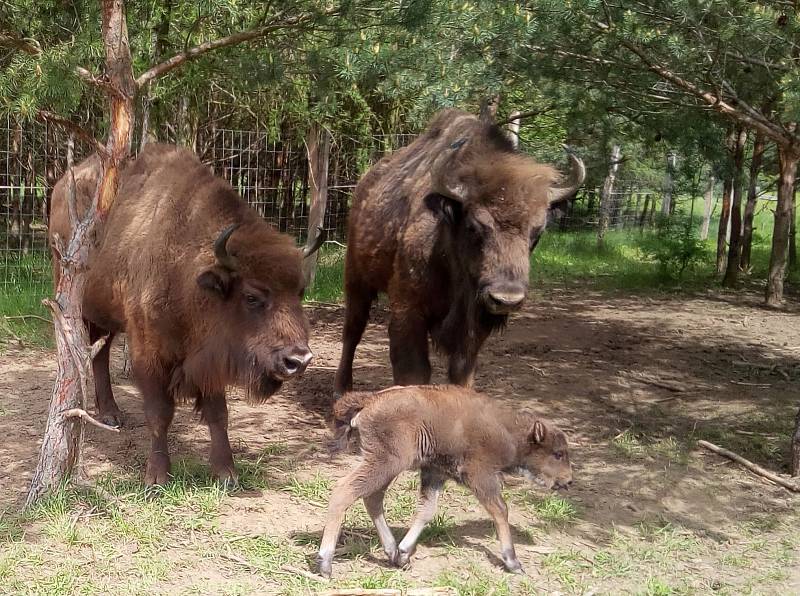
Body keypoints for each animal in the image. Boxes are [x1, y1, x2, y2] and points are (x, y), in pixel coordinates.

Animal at [47, 144, 320, 484]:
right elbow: (160, 413)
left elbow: (218, 414)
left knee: (101, 352)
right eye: (252, 296)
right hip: (77, 302)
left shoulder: (210, 356)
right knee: (84, 351)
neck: (189, 273)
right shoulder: (149, 353)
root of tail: (60, 187)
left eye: (301, 291)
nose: (298, 360)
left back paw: (111, 413)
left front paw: (226, 473)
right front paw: (157, 477)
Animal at [316, 384, 572, 580]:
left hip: (385, 467)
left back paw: (393, 553)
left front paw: (404, 553)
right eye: (558, 453)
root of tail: (371, 400)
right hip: (385, 463)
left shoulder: (435, 474)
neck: (509, 432)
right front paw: (513, 563)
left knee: (372, 498)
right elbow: (500, 510)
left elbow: (427, 510)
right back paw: (325, 564)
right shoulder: (481, 476)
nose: (568, 481)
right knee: (344, 491)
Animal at [334, 110, 584, 396]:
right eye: (475, 226)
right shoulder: (408, 311)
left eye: (537, 231)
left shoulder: (473, 324)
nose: (507, 298)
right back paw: (341, 389)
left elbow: (461, 371)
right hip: (356, 279)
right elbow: (413, 371)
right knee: (353, 330)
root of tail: (364, 185)